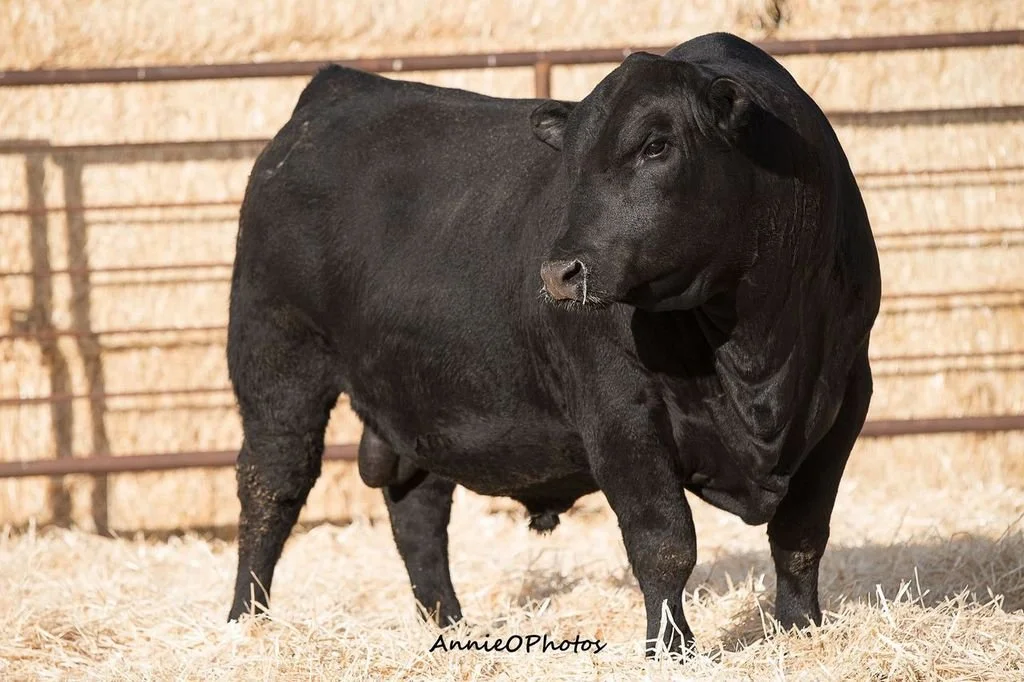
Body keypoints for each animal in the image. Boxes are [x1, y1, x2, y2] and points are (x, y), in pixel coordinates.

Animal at [226, 32, 881, 658]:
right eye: (568, 165)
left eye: (656, 145)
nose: (561, 272)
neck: (757, 353)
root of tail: (338, 89)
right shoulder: (619, 413)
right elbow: (664, 543)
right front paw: (672, 650)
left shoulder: (845, 398)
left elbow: (800, 536)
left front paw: (801, 631)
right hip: (278, 359)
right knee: (270, 488)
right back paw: (246, 622)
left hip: (424, 398)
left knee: (419, 509)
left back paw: (447, 623)